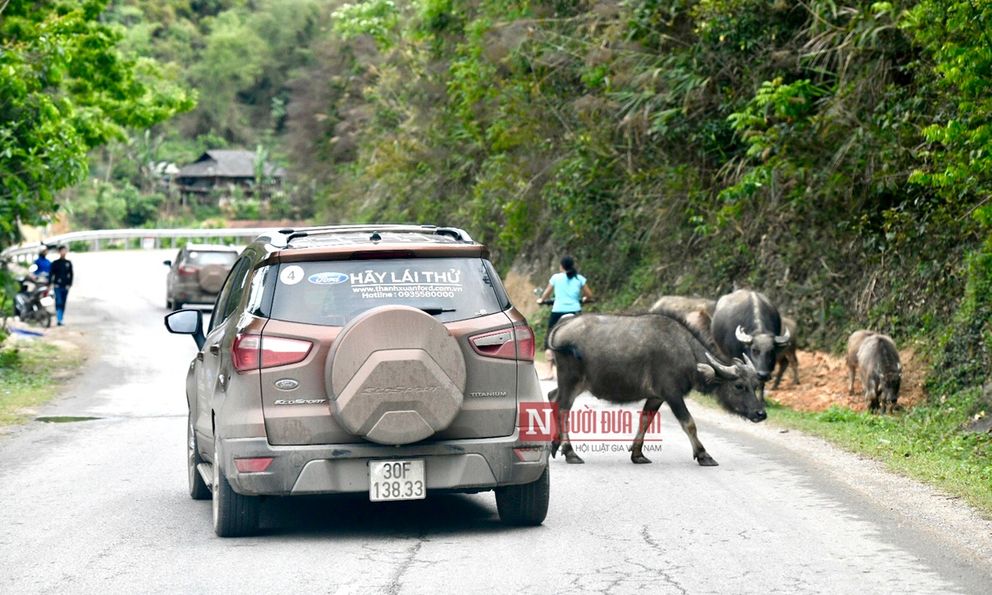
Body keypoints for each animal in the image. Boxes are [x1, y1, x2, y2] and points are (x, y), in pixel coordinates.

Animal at [548, 310, 764, 468]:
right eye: (739, 386)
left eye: (755, 385)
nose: (761, 413)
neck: (686, 352)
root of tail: (563, 325)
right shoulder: (672, 394)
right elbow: (689, 423)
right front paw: (704, 455)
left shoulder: (656, 397)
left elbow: (645, 421)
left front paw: (637, 454)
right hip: (571, 380)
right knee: (563, 409)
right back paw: (570, 452)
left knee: (552, 397)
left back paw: (555, 444)